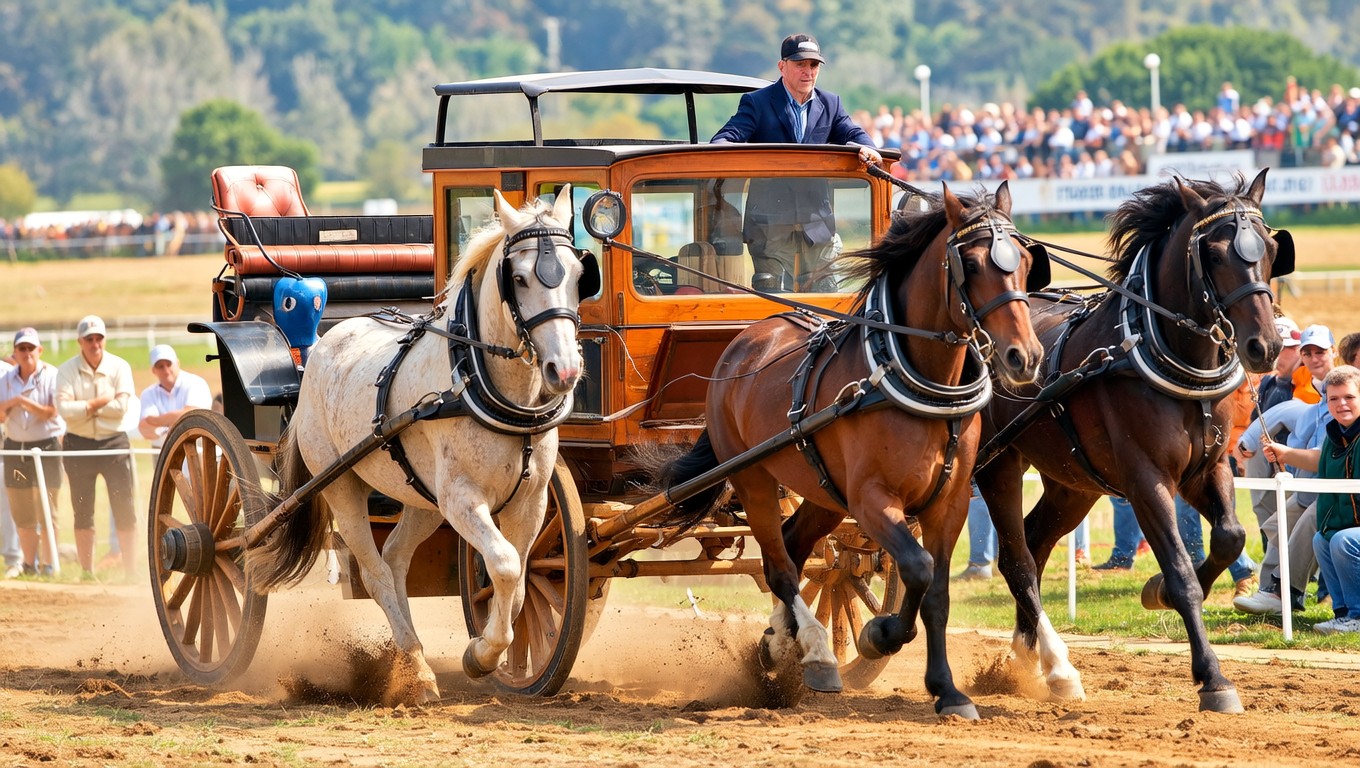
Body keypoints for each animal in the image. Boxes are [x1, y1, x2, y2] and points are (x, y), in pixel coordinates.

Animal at [246, 187, 598, 705]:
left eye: (578, 275)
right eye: (518, 278)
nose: (565, 370)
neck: (478, 381)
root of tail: (323, 346)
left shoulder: (531, 503)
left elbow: (521, 578)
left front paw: (496, 650)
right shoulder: (462, 500)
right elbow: (505, 566)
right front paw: (482, 655)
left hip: (421, 498)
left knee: (394, 559)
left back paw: (413, 662)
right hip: (342, 486)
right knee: (374, 572)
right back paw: (418, 668)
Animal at [659, 182, 1048, 718]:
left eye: (1027, 263)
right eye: (970, 264)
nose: (1024, 357)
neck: (917, 383)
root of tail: (741, 344)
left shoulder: (948, 504)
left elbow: (937, 594)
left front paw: (948, 691)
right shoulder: (871, 499)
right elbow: (918, 568)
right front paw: (879, 635)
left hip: (823, 493)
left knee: (795, 547)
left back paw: (778, 643)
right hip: (754, 477)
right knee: (779, 565)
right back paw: (817, 652)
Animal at [973, 169, 1295, 713]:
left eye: (1272, 249)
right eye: (1213, 254)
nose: (1265, 346)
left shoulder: (1208, 468)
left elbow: (1230, 536)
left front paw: (1155, 589)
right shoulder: (1147, 479)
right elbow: (1183, 574)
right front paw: (1213, 678)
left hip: (1073, 483)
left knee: (1035, 543)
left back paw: (1027, 656)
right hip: (997, 465)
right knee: (1016, 559)